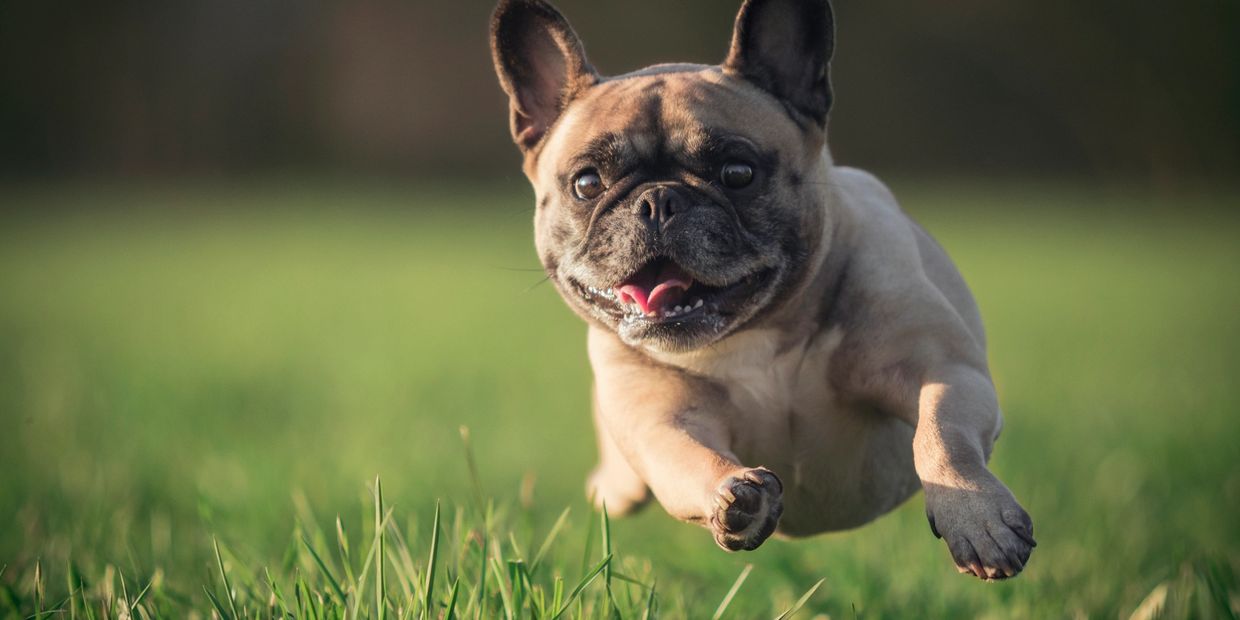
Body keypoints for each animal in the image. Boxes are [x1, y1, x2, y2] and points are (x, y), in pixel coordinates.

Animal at [488, 0, 1031, 577]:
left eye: (738, 173)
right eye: (587, 184)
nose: (658, 201)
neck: (757, 333)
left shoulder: (943, 370)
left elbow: (942, 434)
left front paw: (978, 518)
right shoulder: (660, 419)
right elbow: (687, 455)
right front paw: (734, 495)